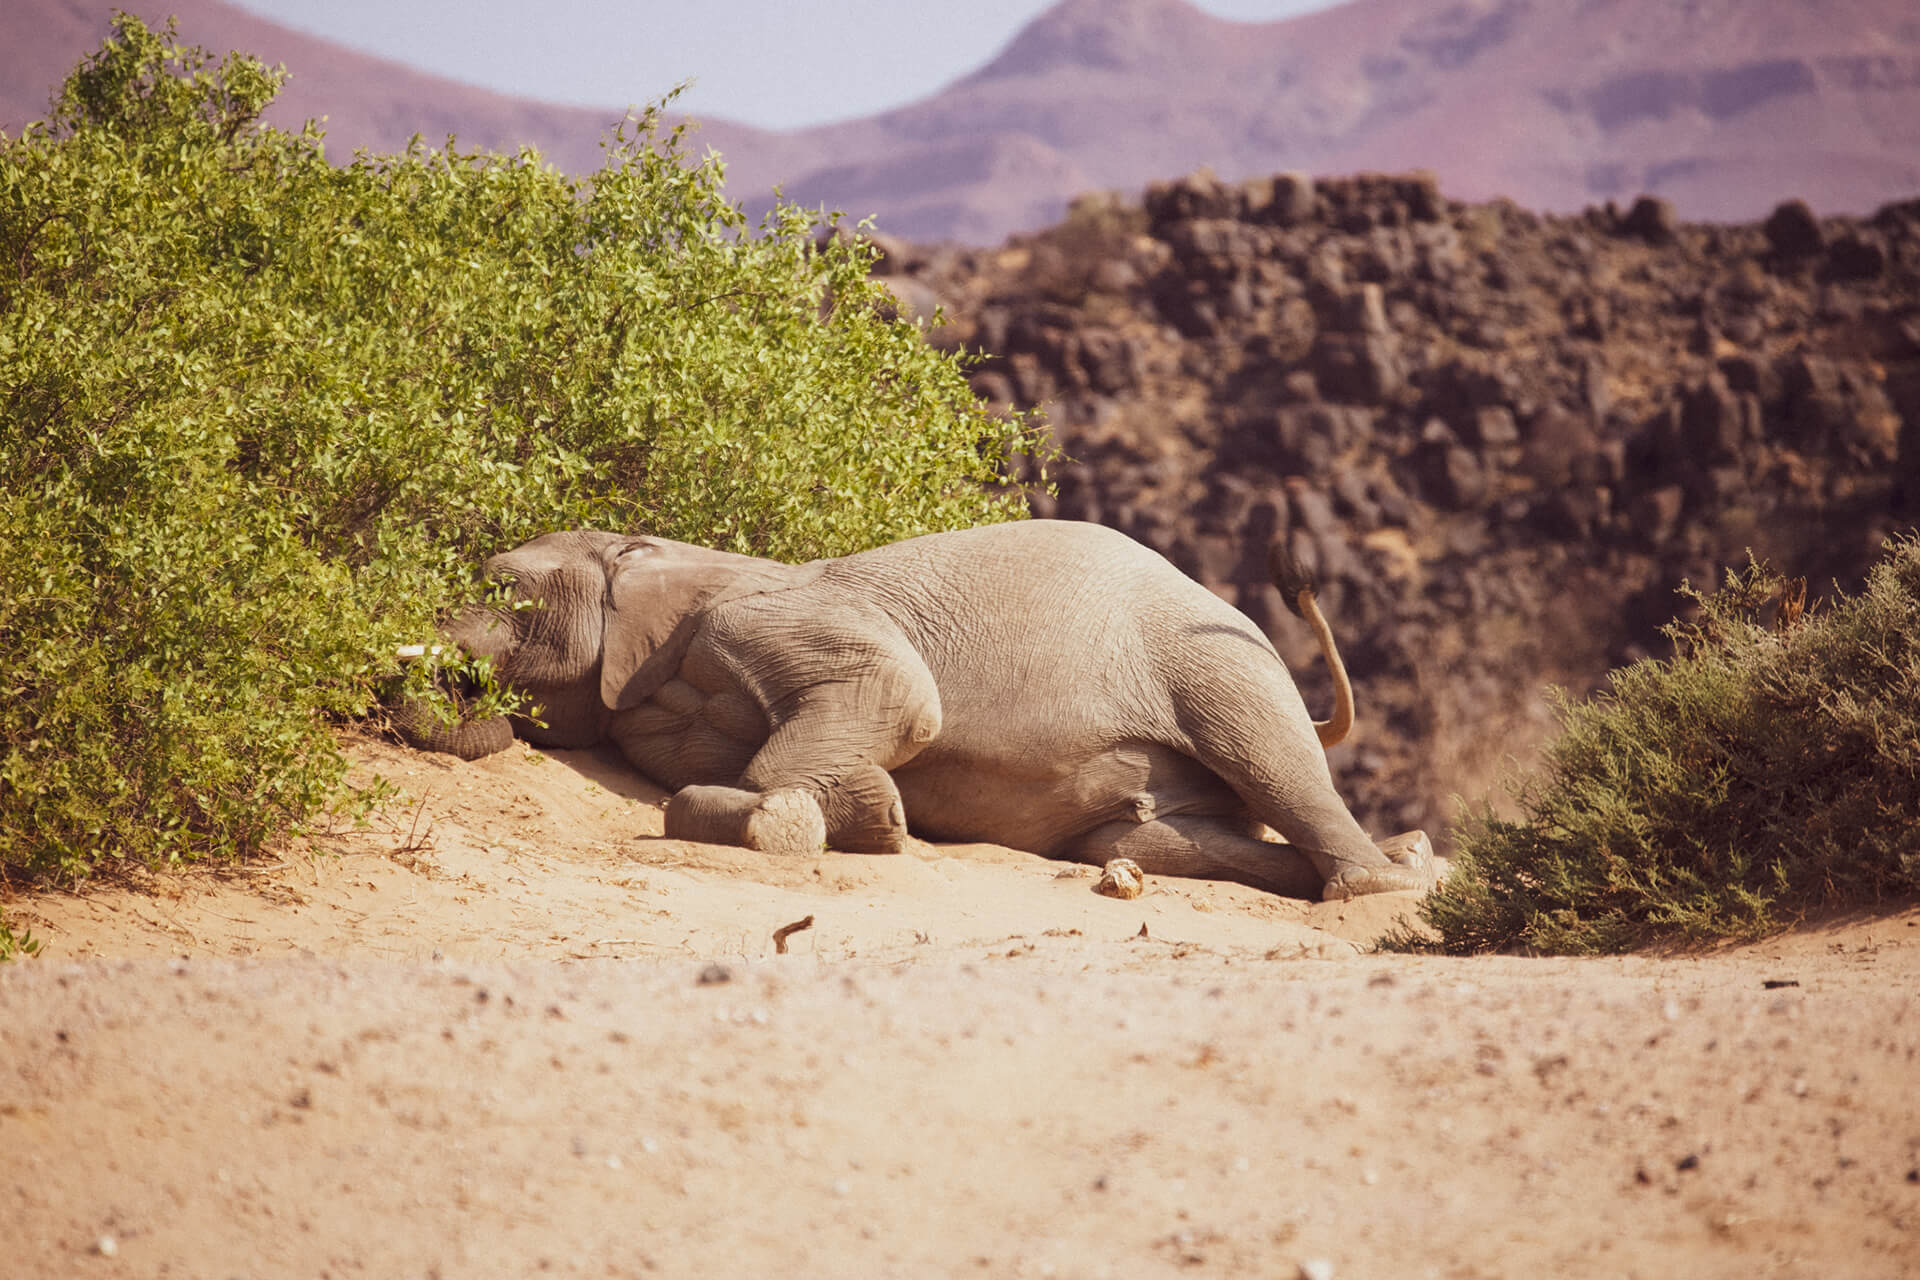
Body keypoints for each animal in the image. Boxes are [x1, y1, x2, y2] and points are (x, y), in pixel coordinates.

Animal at [401, 521, 1428, 901]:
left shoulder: (757, 615)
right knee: (1153, 838)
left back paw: (1382, 883)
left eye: (497, 587)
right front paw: (867, 815)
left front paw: (830, 820)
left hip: (1216, 667)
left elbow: (901, 698)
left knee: (1272, 760)